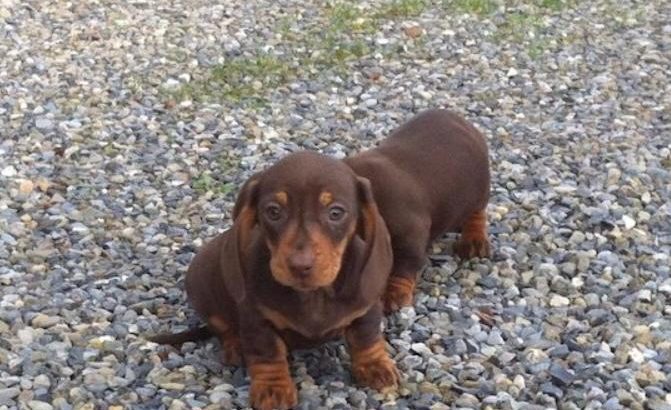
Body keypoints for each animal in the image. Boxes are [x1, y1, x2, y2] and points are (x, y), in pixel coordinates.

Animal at [152, 152, 400, 410]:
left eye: (335, 212)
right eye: (273, 212)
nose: (300, 265)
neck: (314, 295)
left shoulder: (366, 306)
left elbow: (366, 337)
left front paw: (375, 366)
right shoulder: (256, 318)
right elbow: (268, 352)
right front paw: (273, 388)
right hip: (203, 292)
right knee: (222, 325)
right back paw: (236, 345)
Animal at [344, 107, 490, 312]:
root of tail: (466, 123)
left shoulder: (410, 234)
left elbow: (403, 266)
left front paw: (393, 294)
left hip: (479, 191)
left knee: (477, 214)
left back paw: (474, 241)